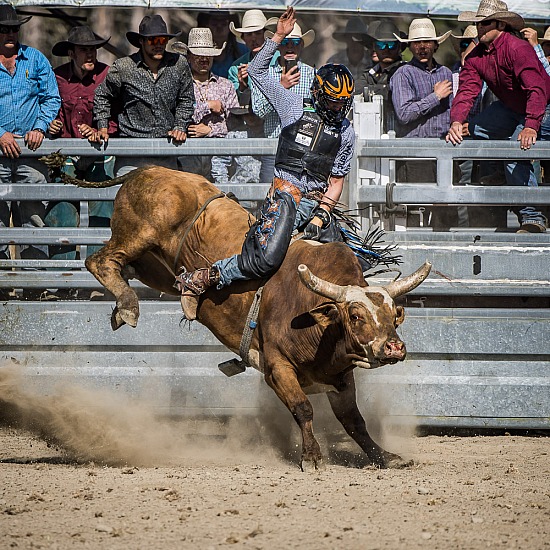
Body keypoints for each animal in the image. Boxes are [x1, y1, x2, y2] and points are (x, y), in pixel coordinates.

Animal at [84, 166, 434, 472]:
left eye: (394, 315)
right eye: (355, 314)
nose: (393, 348)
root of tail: (143, 170)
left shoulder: (339, 378)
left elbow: (354, 421)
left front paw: (385, 456)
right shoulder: (277, 368)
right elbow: (303, 408)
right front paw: (312, 457)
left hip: (155, 268)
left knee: (122, 267)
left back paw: (134, 303)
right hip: (138, 234)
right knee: (99, 260)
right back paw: (128, 306)